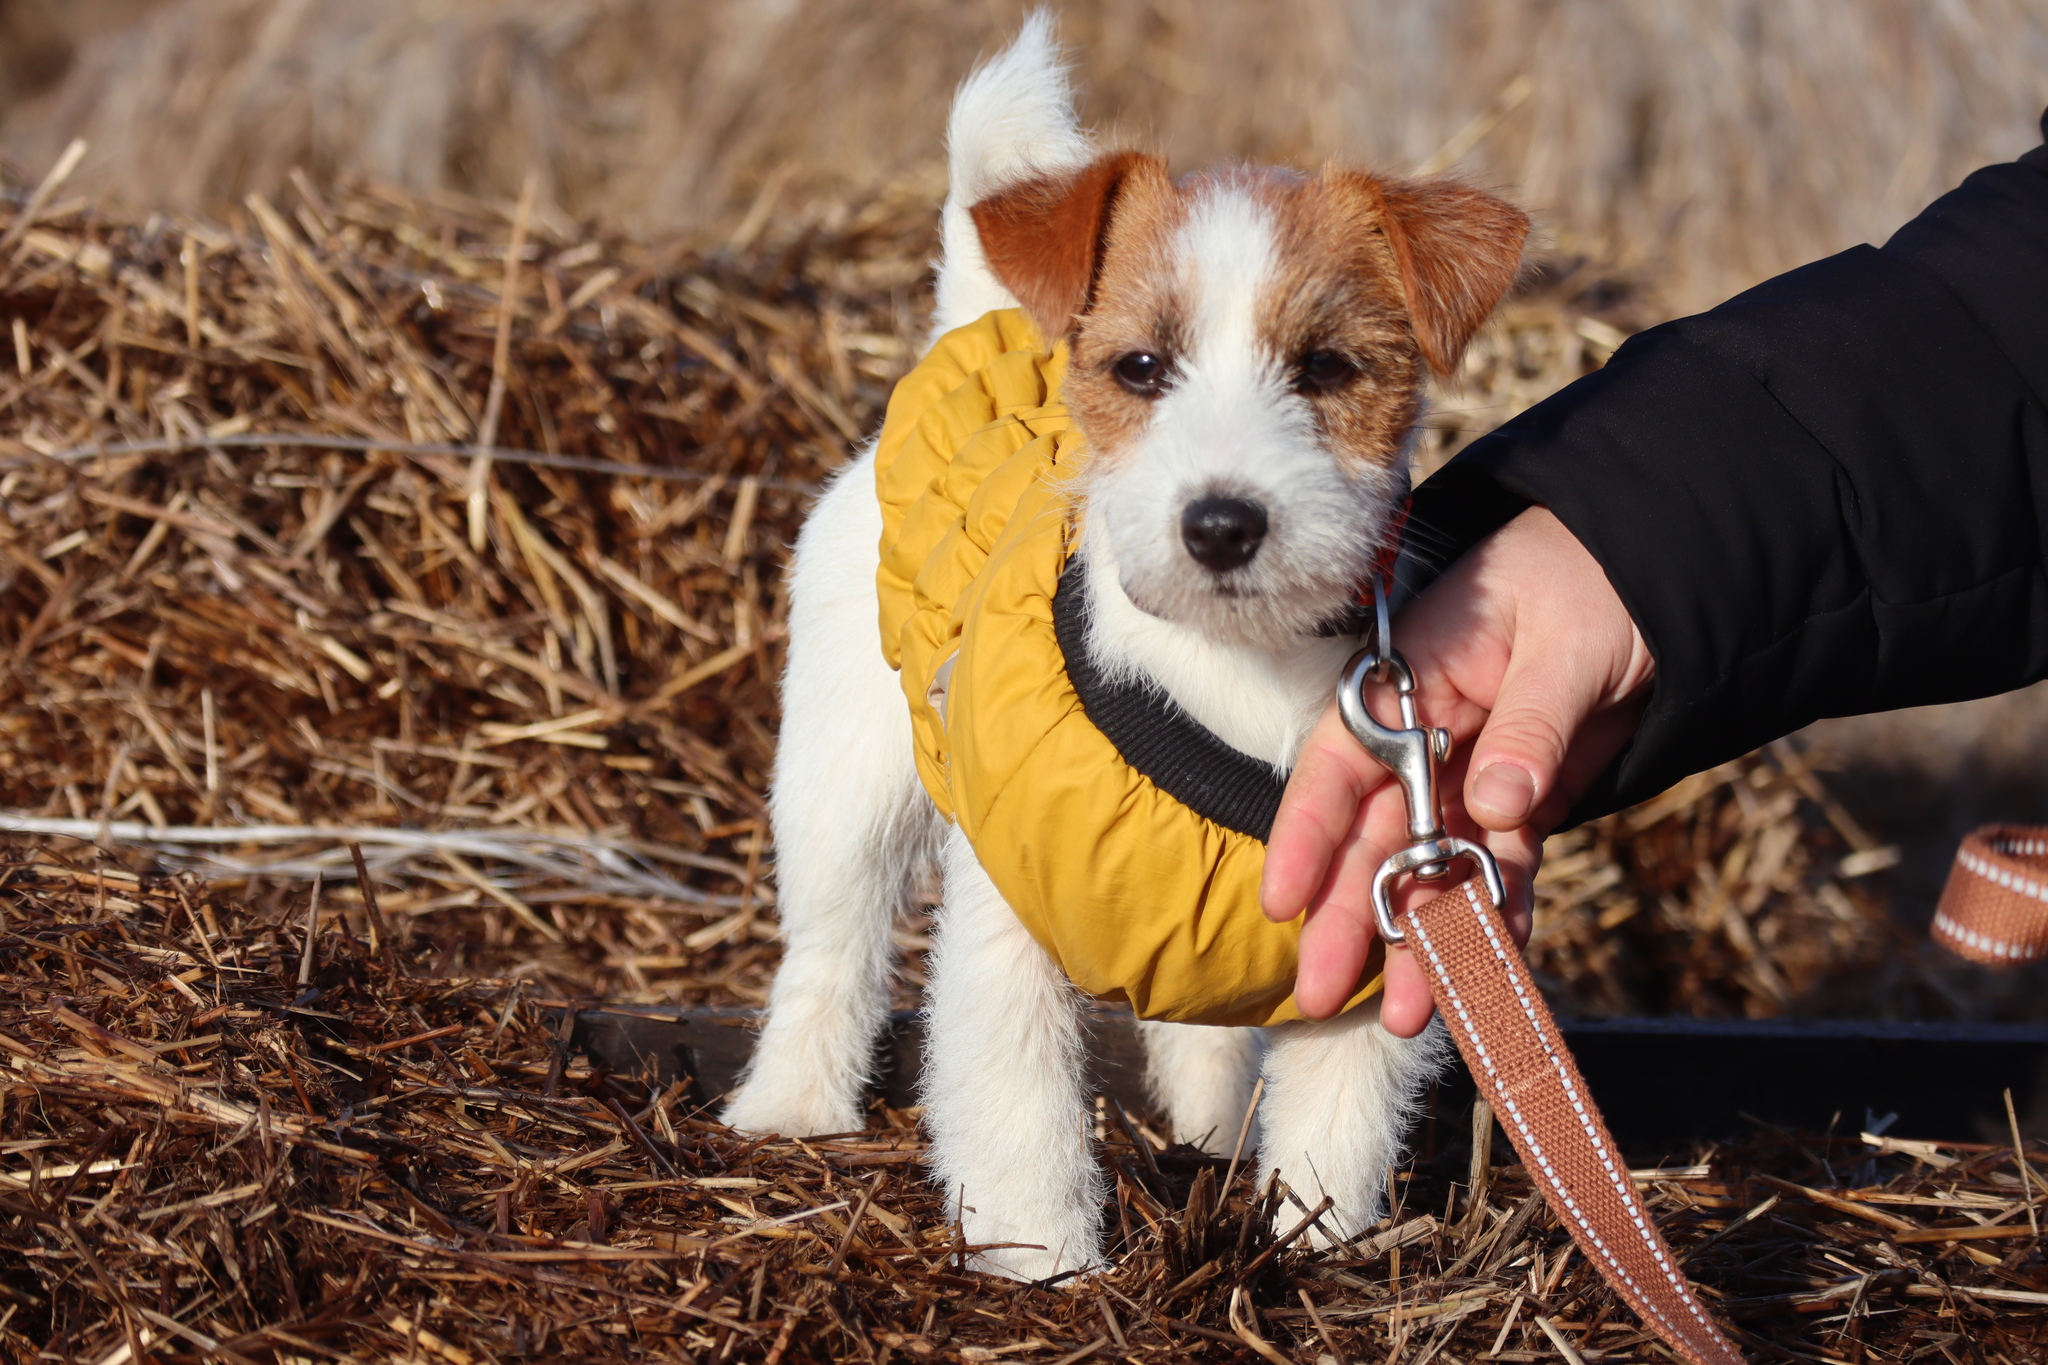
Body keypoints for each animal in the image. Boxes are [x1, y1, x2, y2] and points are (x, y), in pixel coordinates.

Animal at [720, 13, 1523, 1285]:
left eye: (1327, 368)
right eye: (1140, 367)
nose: (1222, 523)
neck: (1231, 675)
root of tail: (970, 326)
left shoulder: (1375, 940)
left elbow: (1334, 1125)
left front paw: (1316, 1251)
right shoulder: (1007, 925)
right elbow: (1017, 1105)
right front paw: (1043, 1261)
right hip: (841, 785)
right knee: (828, 951)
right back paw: (789, 1108)